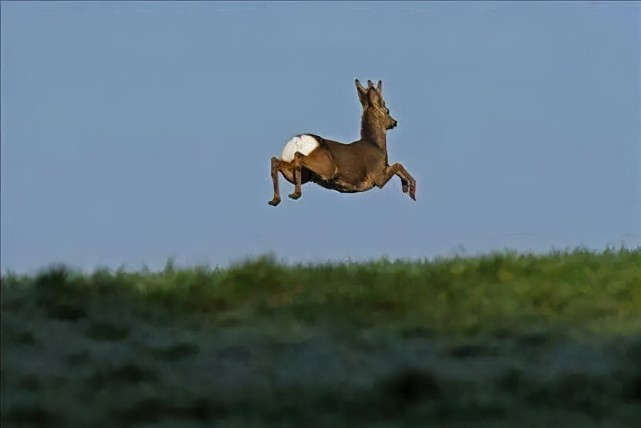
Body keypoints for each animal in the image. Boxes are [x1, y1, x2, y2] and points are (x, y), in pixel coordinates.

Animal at [266, 80, 412, 207]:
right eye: (387, 110)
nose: (394, 122)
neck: (376, 145)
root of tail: (298, 140)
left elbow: (397, 166)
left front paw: (408, 187)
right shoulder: (377, 176)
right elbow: (398, 165)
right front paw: (411, 189)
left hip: (299, 174)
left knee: (275, 162)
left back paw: (275, 200)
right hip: (327, 167)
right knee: (297, 156)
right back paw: (295, 194)